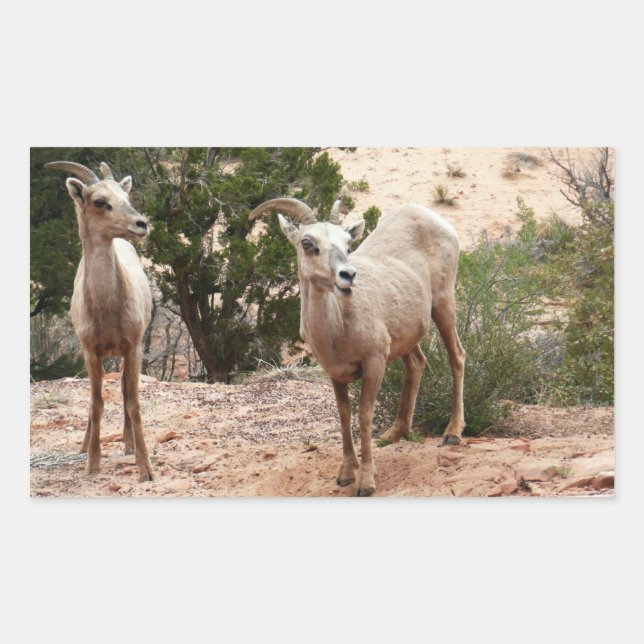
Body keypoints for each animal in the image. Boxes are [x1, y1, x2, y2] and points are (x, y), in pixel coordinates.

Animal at [45, 161, 154, 481]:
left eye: (125, 195)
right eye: (99, 201)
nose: (141, 224)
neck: (107, 309)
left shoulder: (133, 346)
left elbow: (132, 402)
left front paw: (145, 468)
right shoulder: (90, 351)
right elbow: (96, 403)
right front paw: (92, 463)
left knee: (125, 388)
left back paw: (128, 444)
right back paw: (84, 446)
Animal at [249, 197, 465, 496]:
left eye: (347, 244)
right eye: (307, 242)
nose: (348, 275)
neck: (337, 327)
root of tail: (431, 217)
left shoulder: (374, 361)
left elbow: (364, 415)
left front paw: (365, 482)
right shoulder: (335, 372)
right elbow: (344, 414)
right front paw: (345, 474)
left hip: (443, 304)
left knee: (457, 357)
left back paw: (452, 433)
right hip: (406, 335)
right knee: (417, 364)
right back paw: (393, 434)